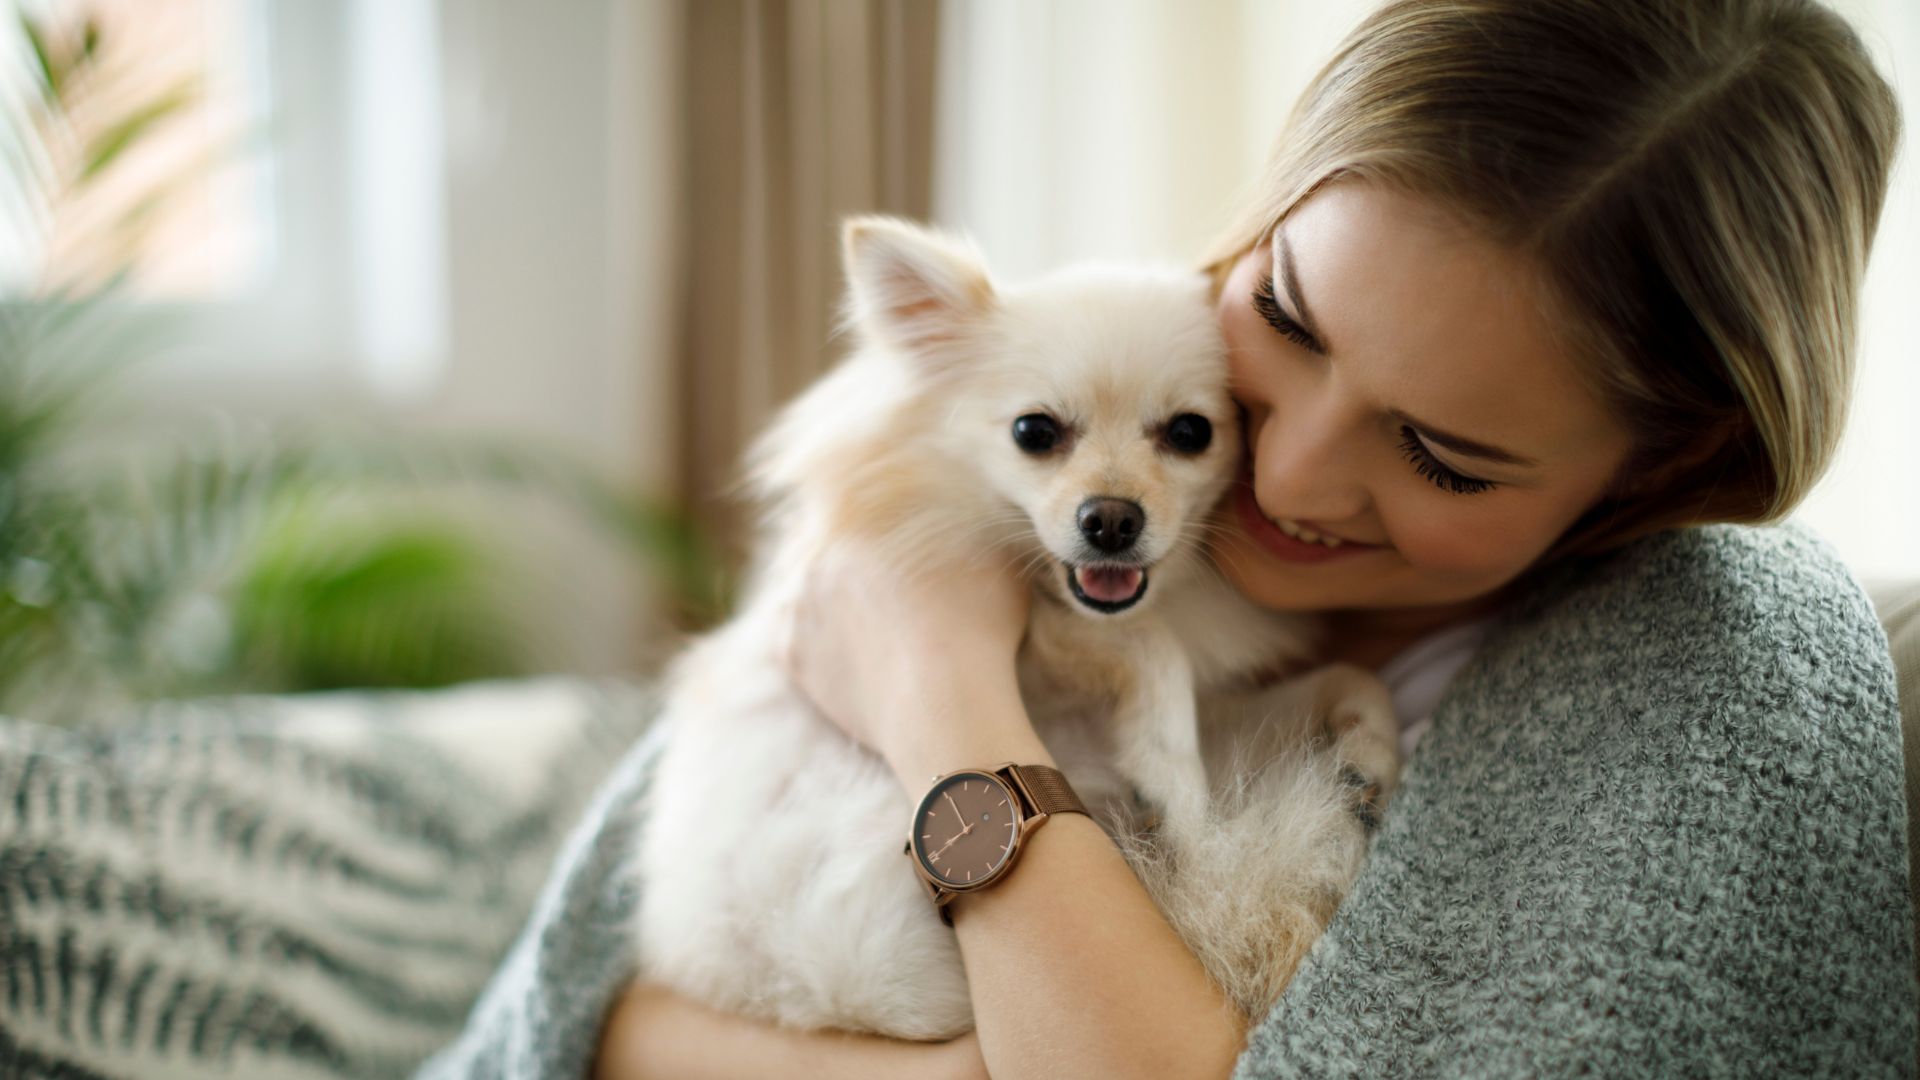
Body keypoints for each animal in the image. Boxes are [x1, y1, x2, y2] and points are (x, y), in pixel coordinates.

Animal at [629, 219, 1397, 1037]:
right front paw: (1182, 799)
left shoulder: (1184, 699)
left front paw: (1368, 746)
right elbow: (1154, 656)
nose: (1111, 520)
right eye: (1035, 431)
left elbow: (1335, 677)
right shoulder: (1042, 649)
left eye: (1192, 432)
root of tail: (789, 999)